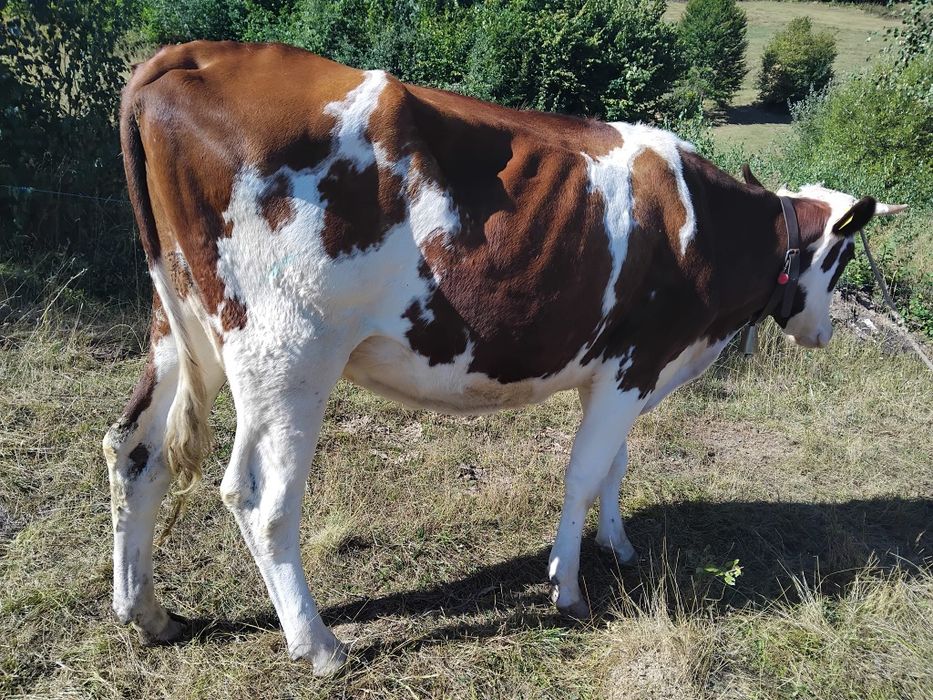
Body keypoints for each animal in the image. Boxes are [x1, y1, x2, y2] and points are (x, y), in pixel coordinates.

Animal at [104, 41, 906, 675]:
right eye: (840, 260)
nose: (823, 334)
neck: (706, 230)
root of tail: (193, 55)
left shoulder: (615, 372)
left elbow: (614, 466)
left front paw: (617, 545)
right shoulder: (634, 363)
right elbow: (582, 474)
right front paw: (568, 588)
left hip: (181, 326)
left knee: (134, 450)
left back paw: (148, 614)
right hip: (286, 351)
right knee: (259, 497)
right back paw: (319, 645)